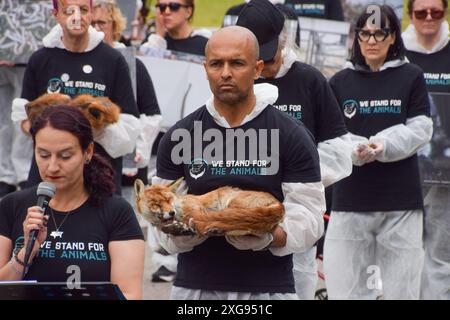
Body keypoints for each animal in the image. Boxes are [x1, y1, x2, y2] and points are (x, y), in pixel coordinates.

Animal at [134, 178, 284, 238]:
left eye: (168, 200)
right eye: (155, 204)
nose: (171, 212)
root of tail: (280, 205)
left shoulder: (196, 210)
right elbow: (171, 229)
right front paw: (178, 229)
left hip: (232, 204)